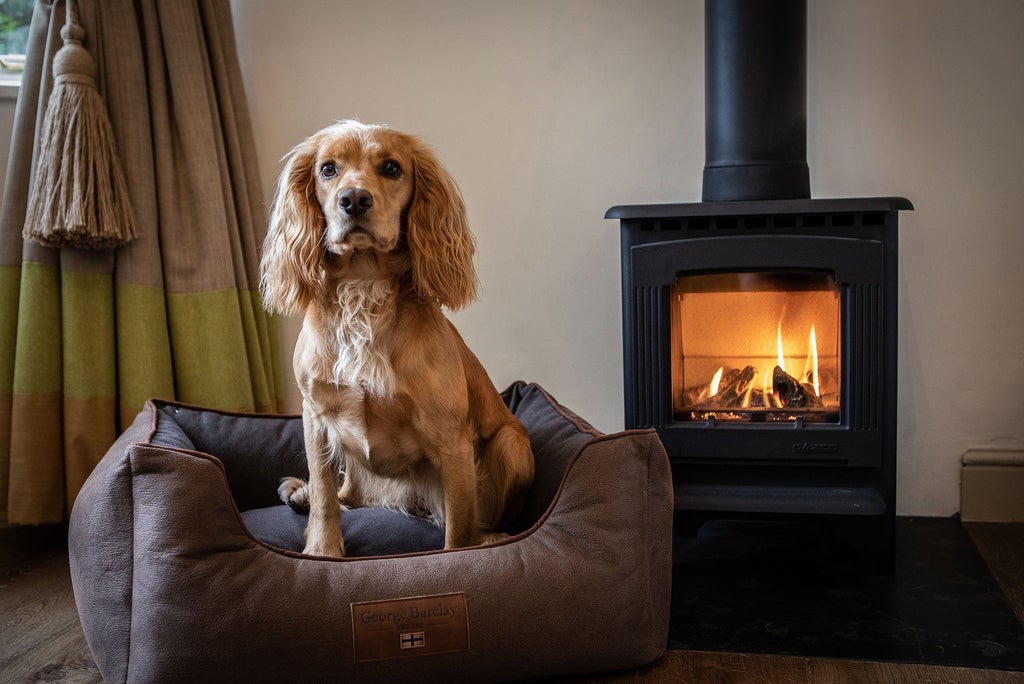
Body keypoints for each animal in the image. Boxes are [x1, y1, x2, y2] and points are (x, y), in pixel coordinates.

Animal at [258, 118, 536, 557]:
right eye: (327, 169)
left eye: (391, 168)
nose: (354, 199)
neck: (363, 284)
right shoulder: (315, 415)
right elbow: (325, 497)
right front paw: (322, 551)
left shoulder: (451, 440)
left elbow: (459, 534)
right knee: (349, 493)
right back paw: (300, 494)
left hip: (513, 446)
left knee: (482, 518)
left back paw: (492, 537)